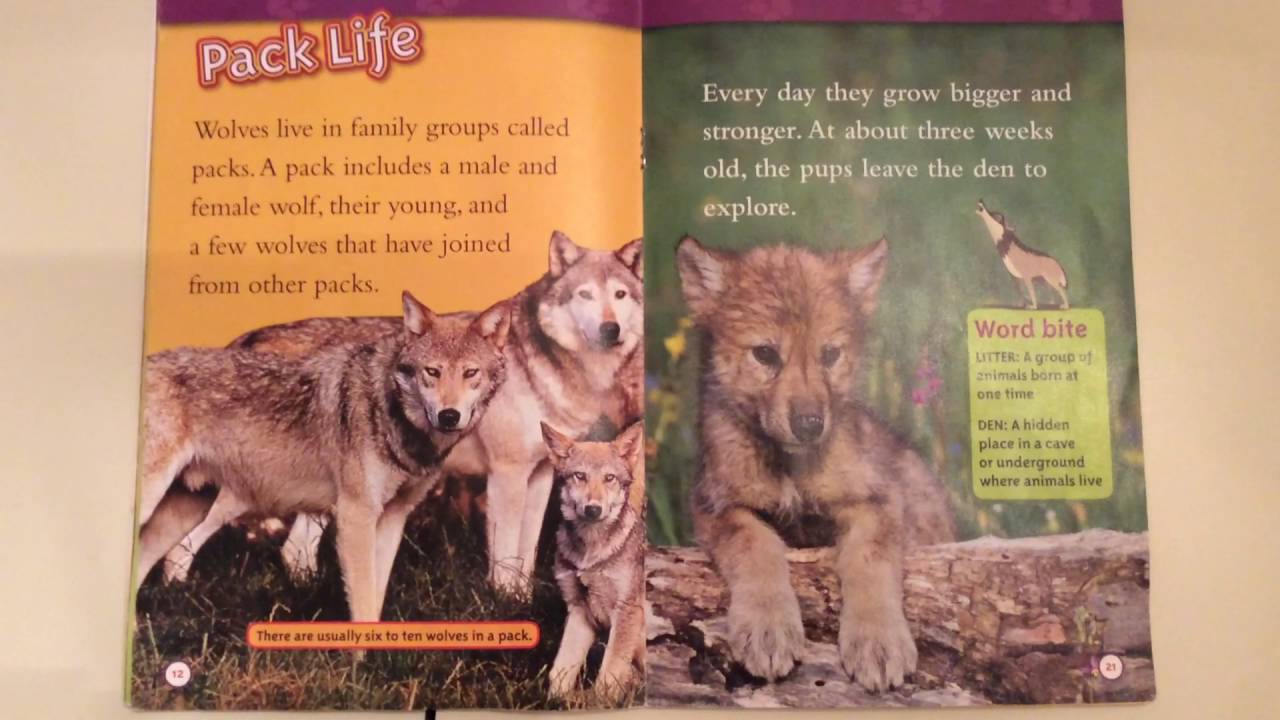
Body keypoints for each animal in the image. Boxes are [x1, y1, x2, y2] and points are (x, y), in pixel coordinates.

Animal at [133, 292, 511, 623]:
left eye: (470, 373)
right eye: (432, 372)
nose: (449, 416)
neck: (386, 407)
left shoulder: (393, 518)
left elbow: (375, 598)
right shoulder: (355, 516)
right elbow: (362, 601)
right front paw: (361, 659)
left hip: (190, 508)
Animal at [178, 231, 643, 592]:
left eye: (619, 295)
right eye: (585, 294)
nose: (611, 329)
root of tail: (248, 338)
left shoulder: (542, 474)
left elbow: (526, 555)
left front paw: (525, 599)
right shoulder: (507, 475)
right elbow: (506, 556)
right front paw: (506, 604)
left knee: (294, 551)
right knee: (187, 544)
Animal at [541, 421, 646, 700]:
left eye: (609, 478)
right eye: (580, 476)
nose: (593, 509)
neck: (591, 556)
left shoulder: (627, 612)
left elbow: (608, 674)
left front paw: (600, 702)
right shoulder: (580, 611)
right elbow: (560, 670)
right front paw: (556, 701)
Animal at [675, 235, 955, 692]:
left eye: (830, 354)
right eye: (765, 354)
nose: (809, 424)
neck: (791, 470)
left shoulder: (876, 499)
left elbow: (869, 560)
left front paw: (878, 641)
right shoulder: (717, 504)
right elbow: (755, 544)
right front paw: (768, 627)